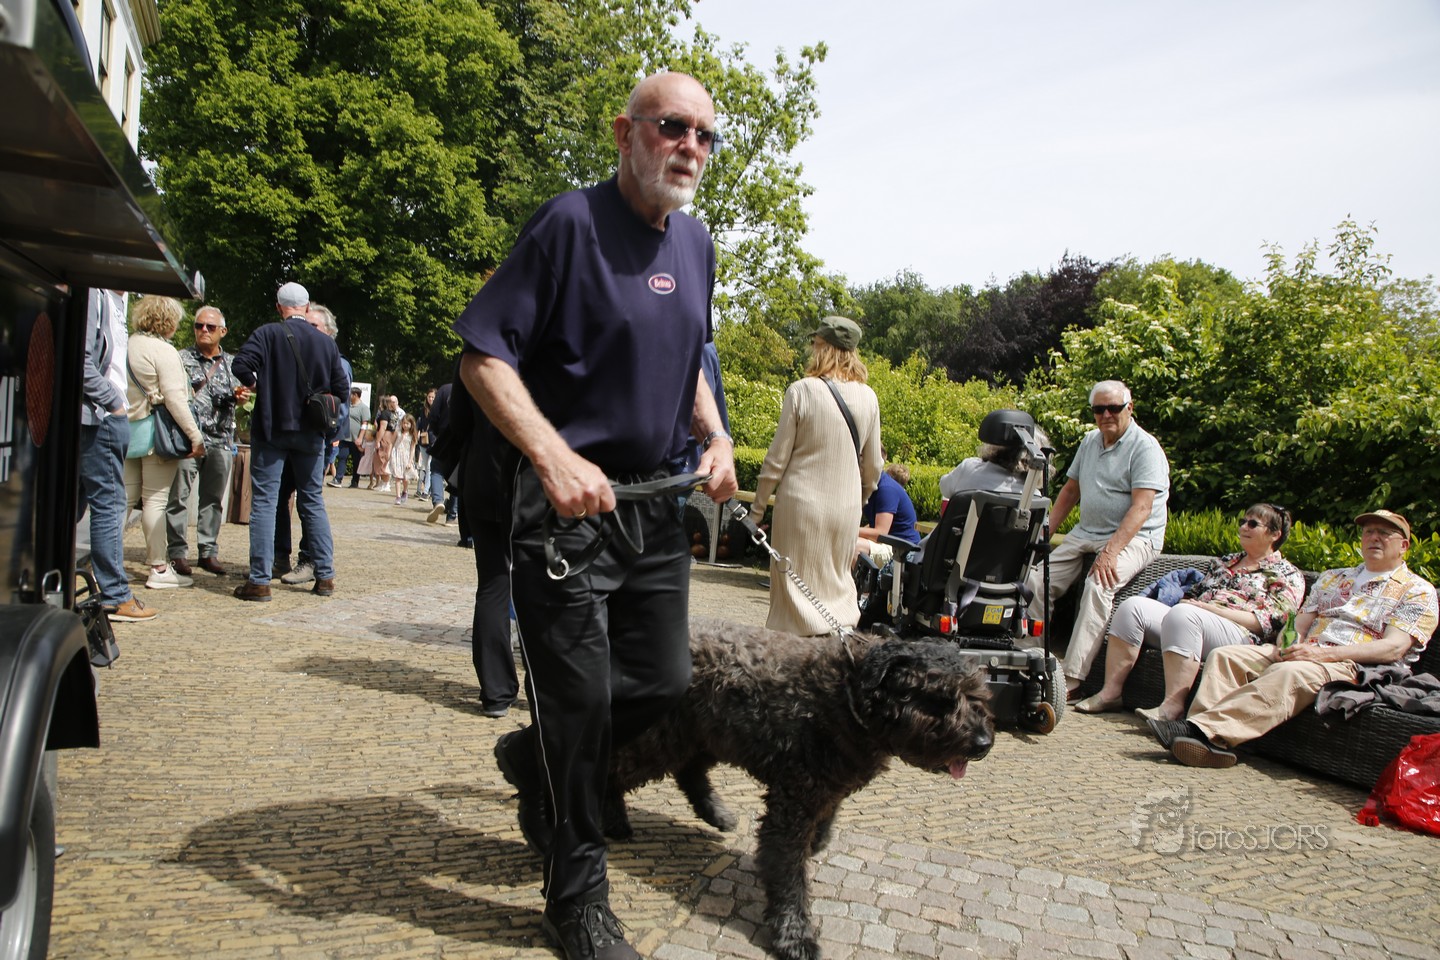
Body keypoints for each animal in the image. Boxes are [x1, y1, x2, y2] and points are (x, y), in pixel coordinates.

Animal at [609, 617, 994, 960]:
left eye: (977, 694)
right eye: (939, 698)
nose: (984, 743)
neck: (848, 697)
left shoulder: (826, 786)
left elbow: (824, 820)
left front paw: (817, 842)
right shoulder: (791, 804)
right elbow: (787, 873)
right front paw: (793, 935)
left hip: (702, 735)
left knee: (688, 771)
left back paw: (715, 813)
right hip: (662, 739)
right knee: (616, 768)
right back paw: (612, 822)